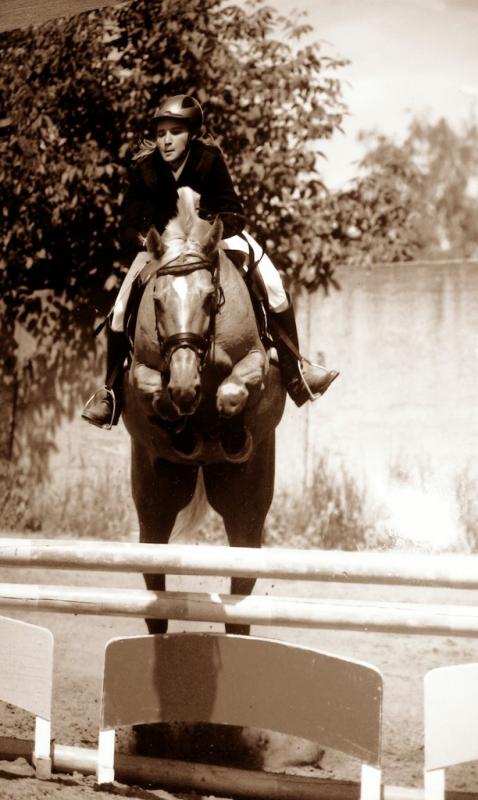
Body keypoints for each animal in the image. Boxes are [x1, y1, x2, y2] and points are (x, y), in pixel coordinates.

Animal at [122, 187, 286, 636]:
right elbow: (154, 393)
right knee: (155, 579)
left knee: (241, 582)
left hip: (245, 501)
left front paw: (230, 434)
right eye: (157, 301)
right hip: (156, 498)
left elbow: (232, 391)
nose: (184, 385)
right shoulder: (140, 373)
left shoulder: (258, 361)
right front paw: (182, 428)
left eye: (211, 298)